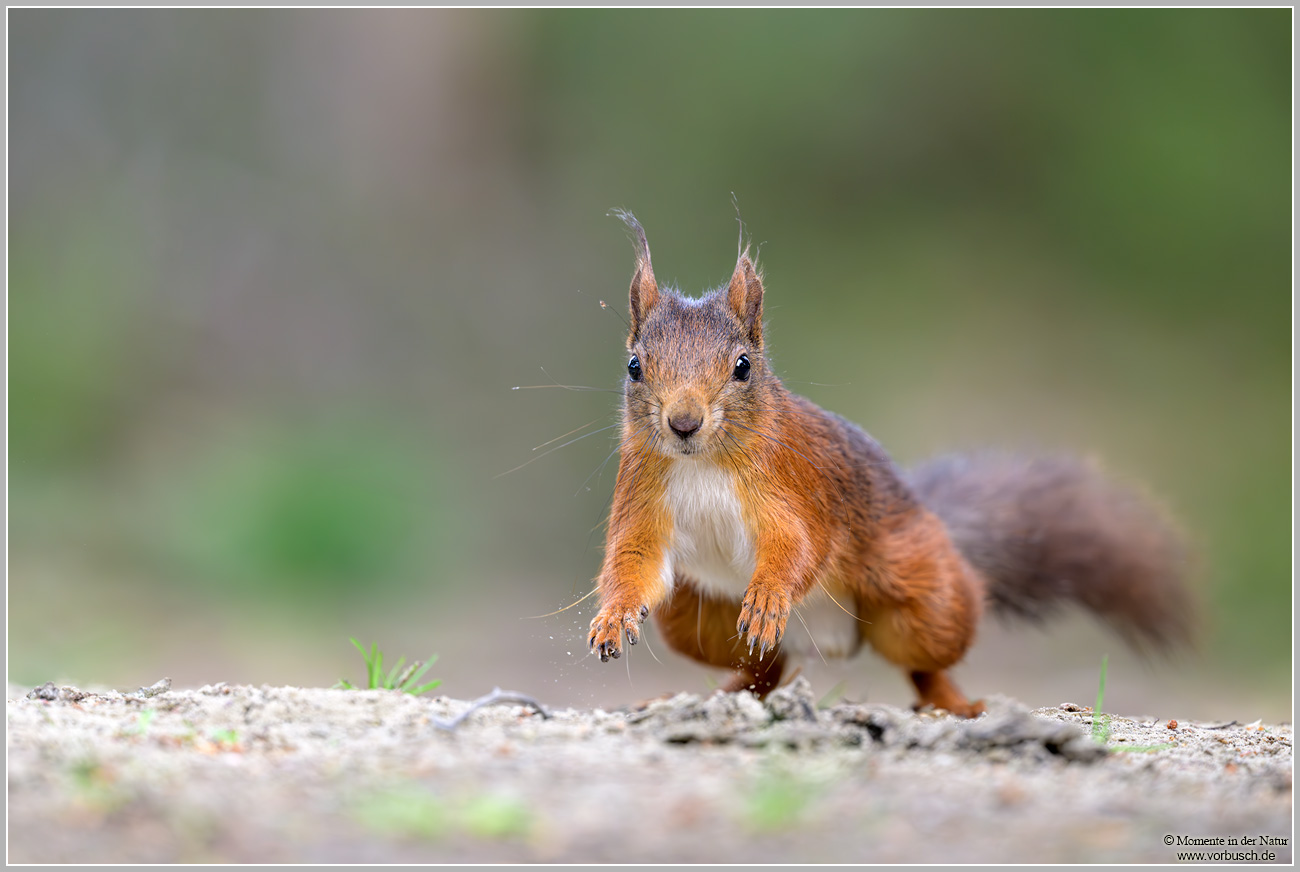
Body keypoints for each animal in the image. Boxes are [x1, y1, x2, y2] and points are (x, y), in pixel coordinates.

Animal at [586, 211, 1195, 718]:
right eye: (634, 365)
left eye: (742, 366)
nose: (683, 422)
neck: (703, 463)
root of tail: (828, 638)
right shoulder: (641, 496)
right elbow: (632, 560)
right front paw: (613, 617)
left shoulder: (797, 489)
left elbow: (800, 546)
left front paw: (768, 594)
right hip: (693, 619)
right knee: (767, 665)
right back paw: (715, 694)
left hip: (925, 599)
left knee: (924, 659)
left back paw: (956, 702)